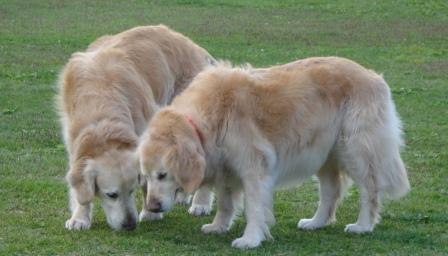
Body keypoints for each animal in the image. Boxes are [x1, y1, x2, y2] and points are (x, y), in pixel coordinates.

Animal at [56, 25, 215, 231]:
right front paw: (80, 218)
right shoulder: (73, 142)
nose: (129, 224)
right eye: (112, 195)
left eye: (132, 190)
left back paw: (200, 203)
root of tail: (194, 47)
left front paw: (150, 213)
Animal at [138, 57, 412, 249]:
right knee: (331, 191)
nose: (151, 207)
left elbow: (254, 207)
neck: (211, 118)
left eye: (162, 175)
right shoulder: (227, 169)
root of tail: (373, 76)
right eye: (146, 176)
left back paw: (363, 225)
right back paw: (315, 222)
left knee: (370, 190)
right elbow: (226, 203)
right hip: (323, 153)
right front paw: (218, 226)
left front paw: (250, 239)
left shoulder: (254, 167)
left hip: (355, 150)